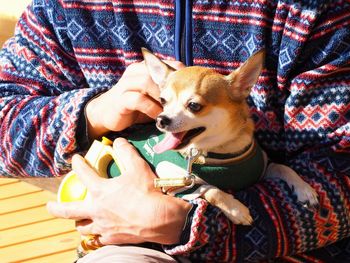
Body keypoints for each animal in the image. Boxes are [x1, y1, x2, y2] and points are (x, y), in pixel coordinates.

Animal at [142, 48, 318, 226]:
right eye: (163, 101)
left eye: (193, 106)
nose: (161, 119)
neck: (222, 148)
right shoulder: (175, 184)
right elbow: (212, 190)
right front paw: (236, 209)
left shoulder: (262, 169)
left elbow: (283, 167)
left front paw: (304, 189)